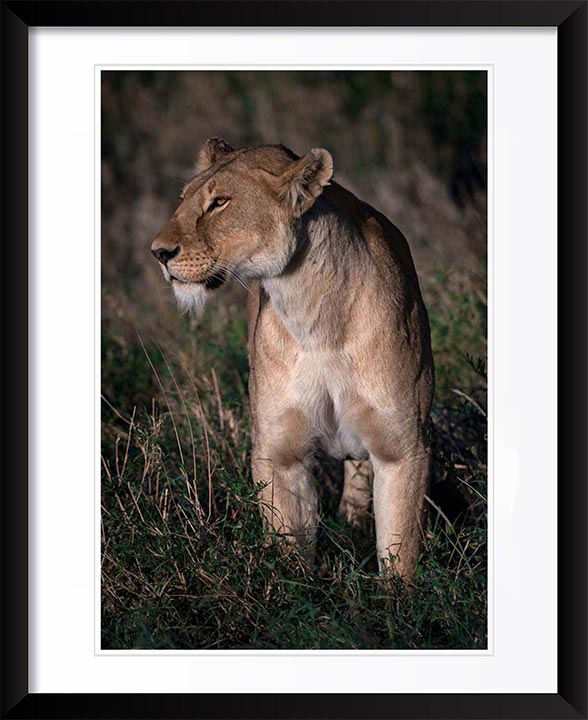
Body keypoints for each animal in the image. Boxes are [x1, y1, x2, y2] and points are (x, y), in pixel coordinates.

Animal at [151, 138, 434, 580]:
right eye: (184, 200)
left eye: (220, 202)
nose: (158, 253)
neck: (314, 317)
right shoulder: (280, 454)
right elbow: (289, 553)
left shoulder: (404, 450)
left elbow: (400, 552)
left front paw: (397, 598)